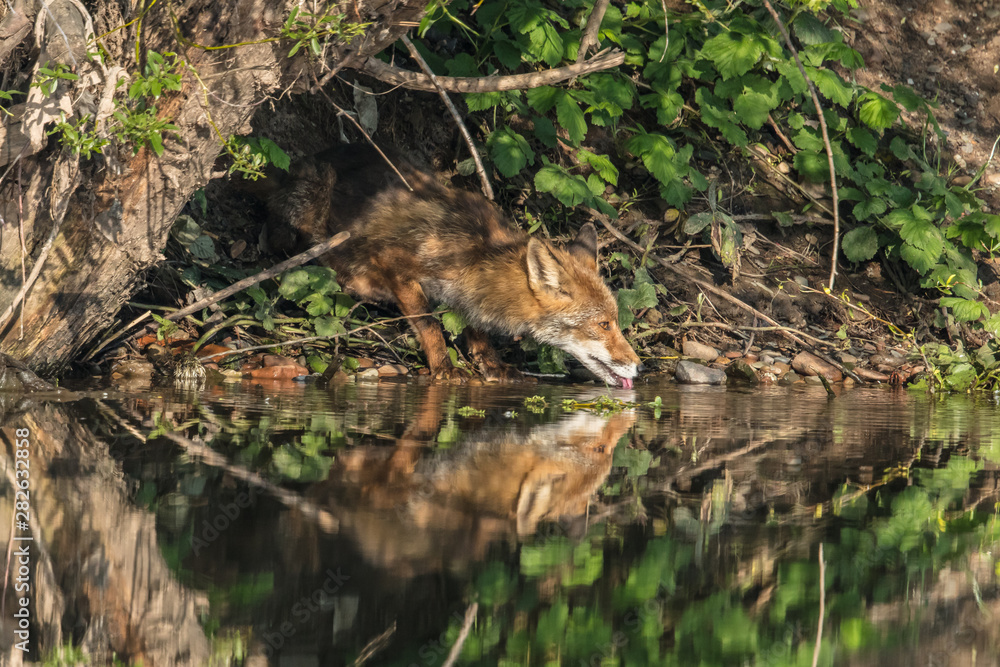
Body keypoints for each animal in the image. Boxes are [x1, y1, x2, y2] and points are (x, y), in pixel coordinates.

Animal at [258, 144, 642, 386]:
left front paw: (491, 363)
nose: (639, 366)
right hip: (308, 207)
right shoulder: (395, 261)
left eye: (616, 321)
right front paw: (443, 366)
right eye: (604, 324)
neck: (475, 254)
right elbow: (429, 324)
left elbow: (476, 329)